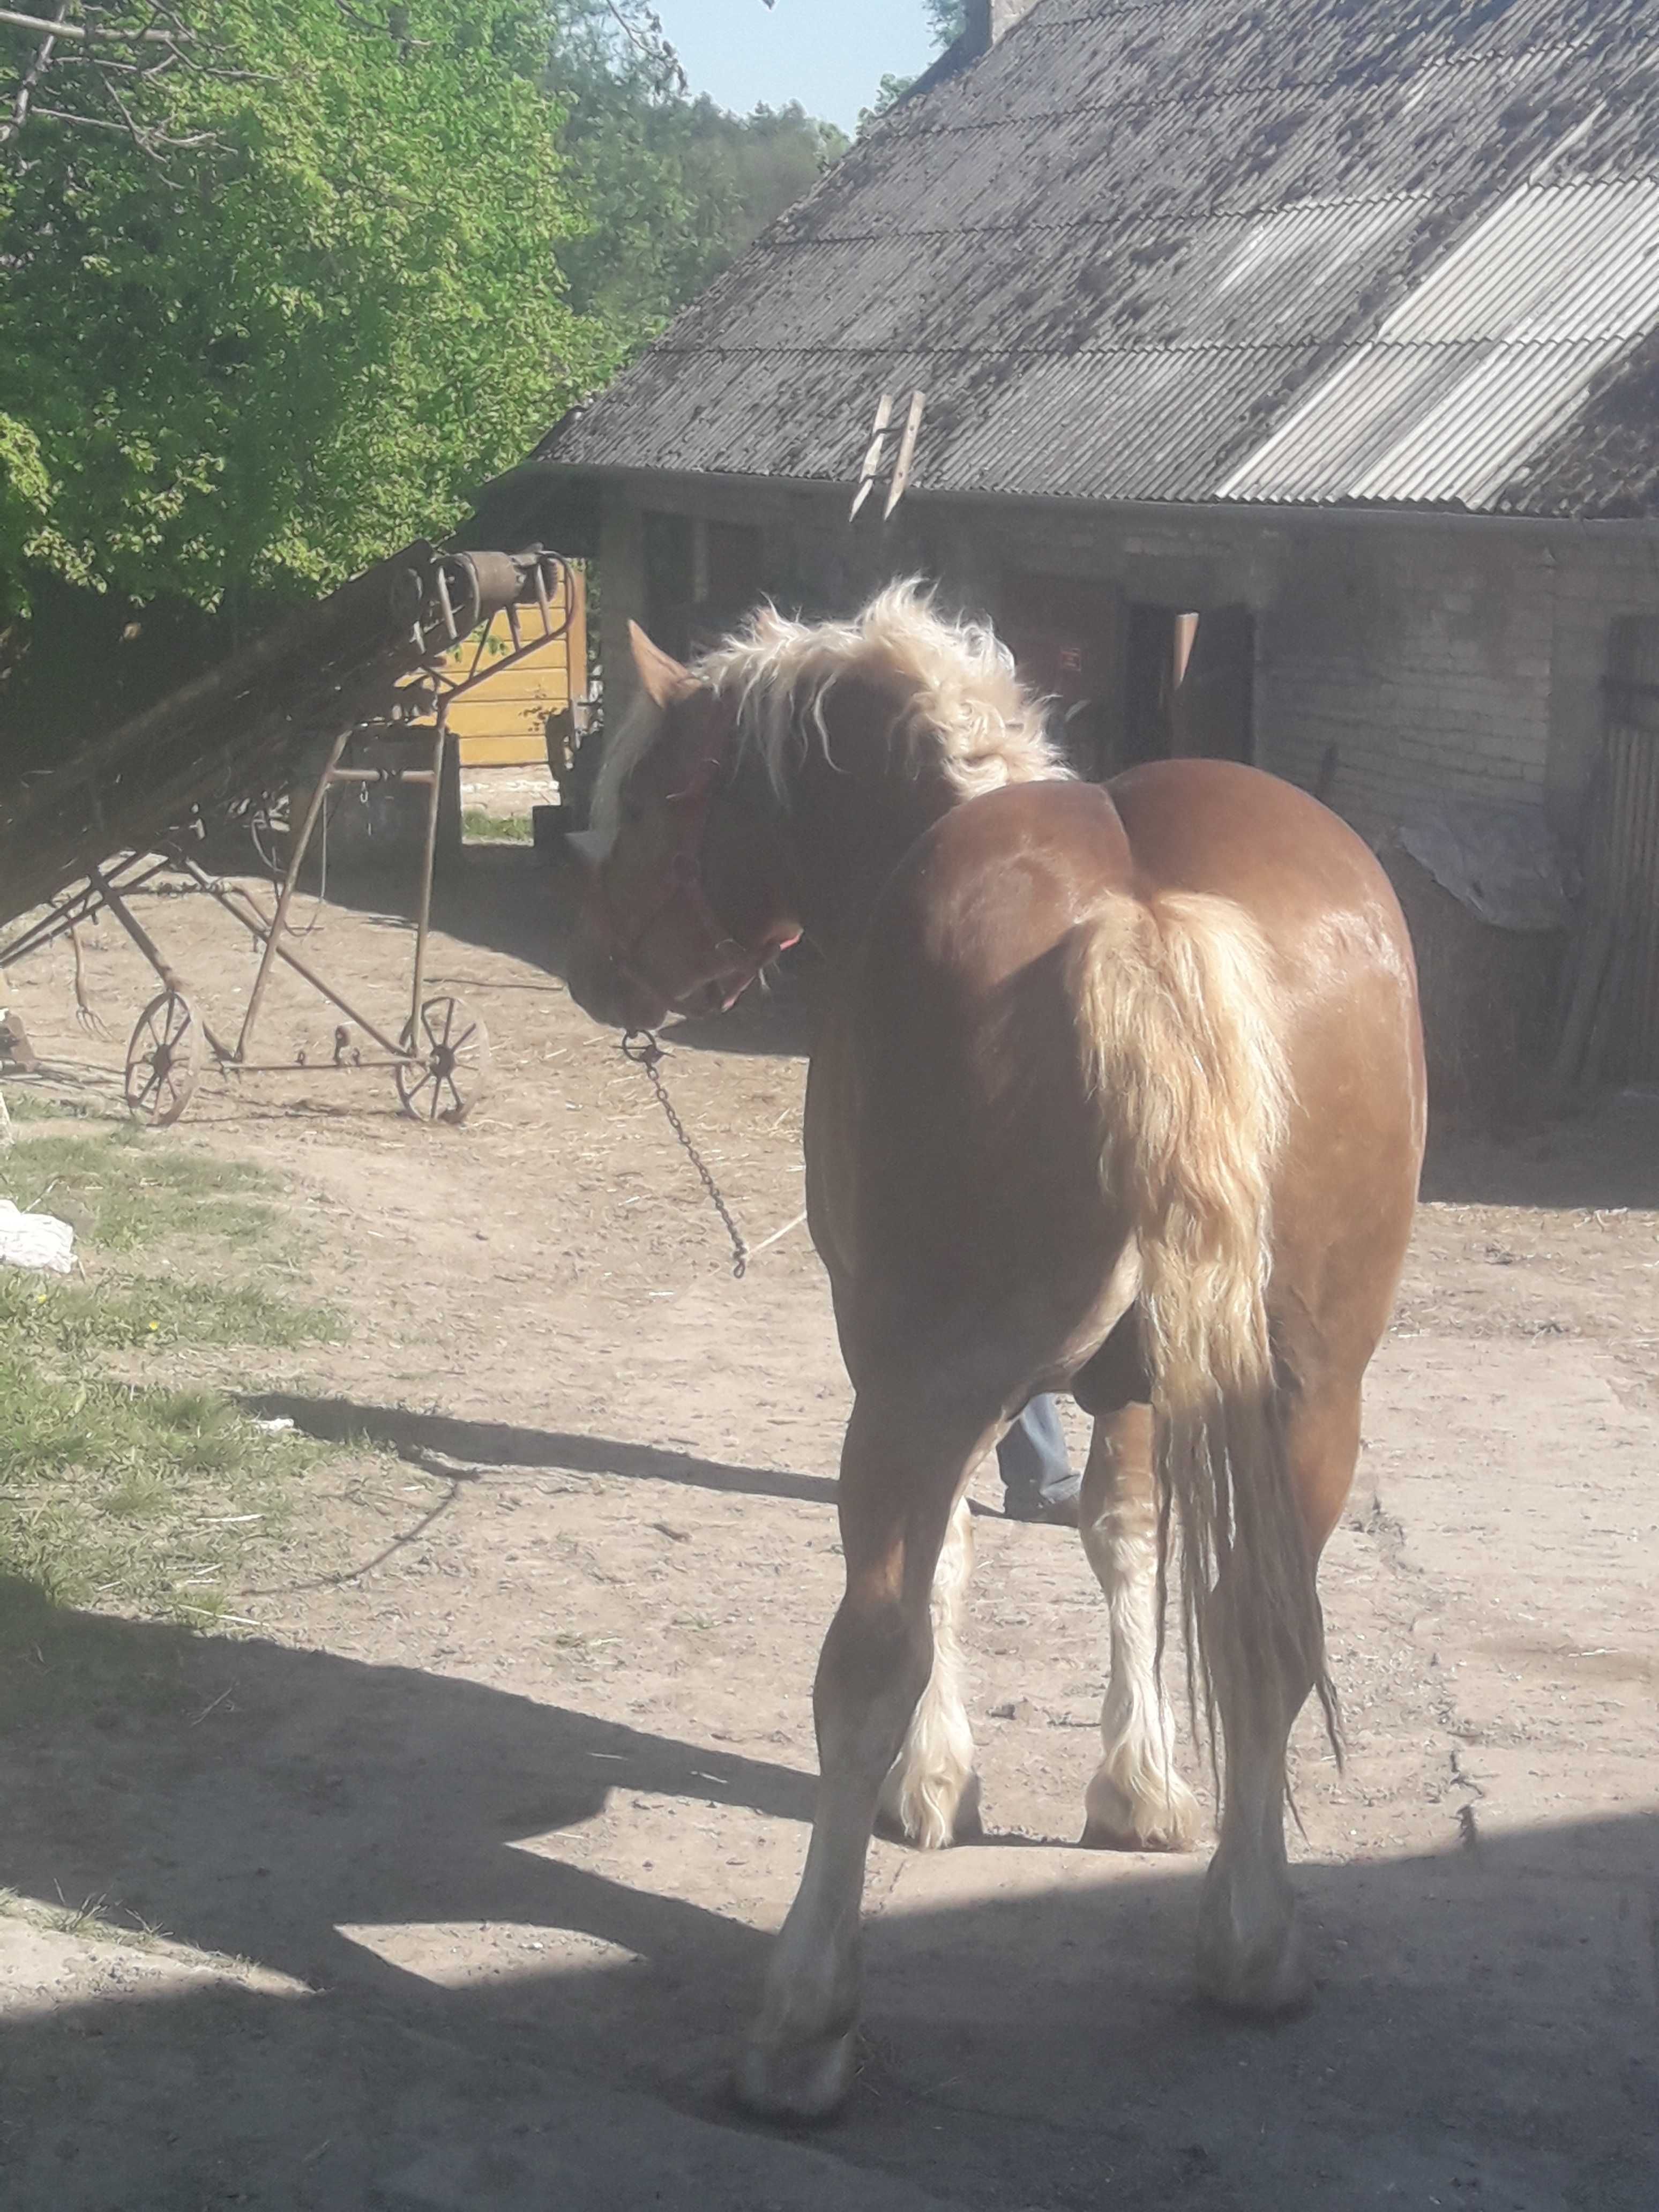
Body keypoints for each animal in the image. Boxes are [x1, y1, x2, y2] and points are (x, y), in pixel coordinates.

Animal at [562, 588, 1433, 2123]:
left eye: (655, 791)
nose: (593, 959)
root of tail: (1144, 912)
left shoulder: (905, 1375)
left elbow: (950, 1572)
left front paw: (936, 1786)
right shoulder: (1144, 1389)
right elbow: (1125, 1534)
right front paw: (1140, 1789)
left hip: (919, 1393)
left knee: (867, 1659)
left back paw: (803, 2019)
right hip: (1308, 1398)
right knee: (1265, 1630)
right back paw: (1251, 1944)